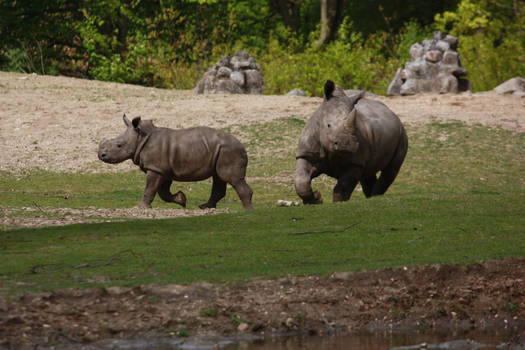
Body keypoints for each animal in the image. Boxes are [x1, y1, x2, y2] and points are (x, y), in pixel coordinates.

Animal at [99, 115, 255, 211]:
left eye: (119, 145)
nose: (101, 155)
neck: (140, 138)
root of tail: (243, 146)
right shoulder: (163, 170)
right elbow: (163, 192)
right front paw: (182, 199)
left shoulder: (155, 168)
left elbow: (150, 188)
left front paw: (140, 208)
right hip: (221, 151)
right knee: (219, 178)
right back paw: (205, 207)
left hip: (230, 150)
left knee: (232, 178)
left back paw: (247, 211)